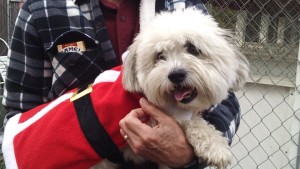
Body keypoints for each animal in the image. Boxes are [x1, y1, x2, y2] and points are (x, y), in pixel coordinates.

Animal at [96, 6, 248, 169]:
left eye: (193, 49)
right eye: (160, 56)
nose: (175, 75)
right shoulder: (151, 119)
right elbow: (191, 122)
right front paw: (216, 147)